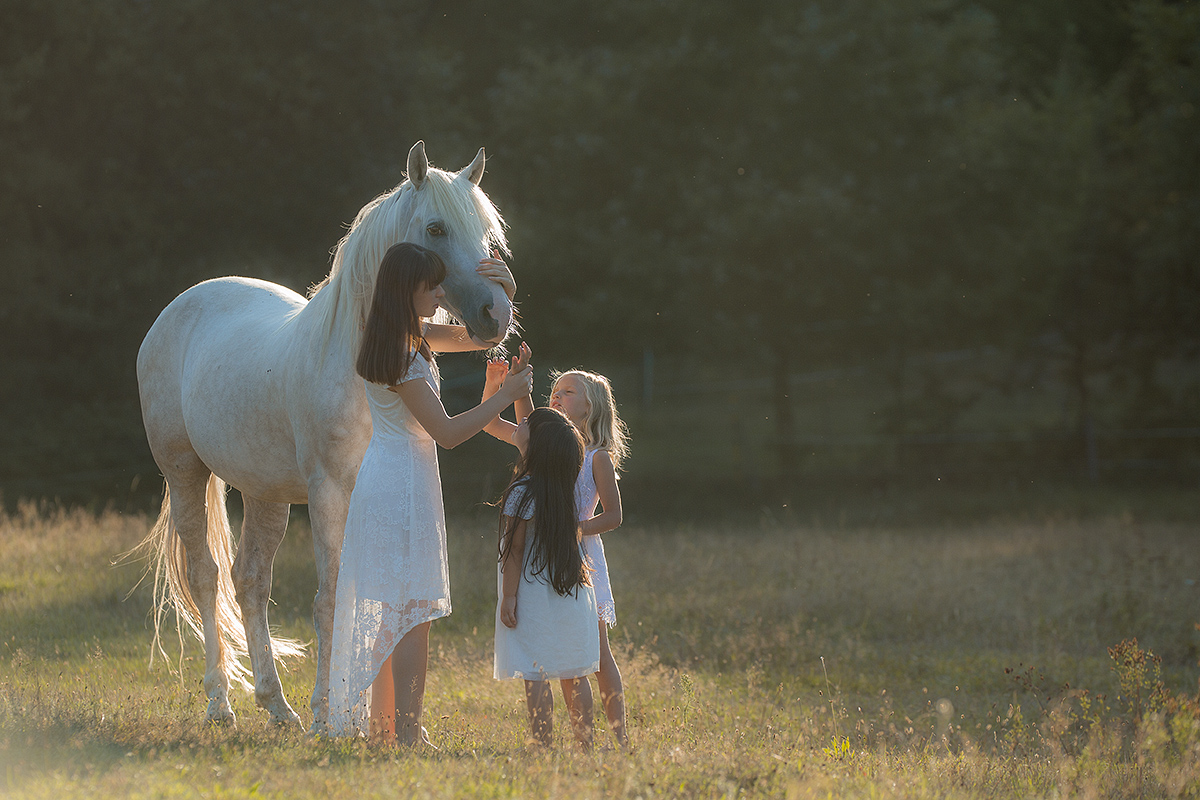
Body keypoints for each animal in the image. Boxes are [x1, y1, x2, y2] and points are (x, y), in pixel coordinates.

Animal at [132, 140, 516, 729]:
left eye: (487, 233)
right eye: (435, 229)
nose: (495, 314)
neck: (357, 361)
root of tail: (179, 307)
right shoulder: (330, 493)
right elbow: (331, 600)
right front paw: (329, 715)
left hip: (265, 493)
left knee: (250, 581)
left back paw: (276, 705)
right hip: (184, 474)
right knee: (206, 576)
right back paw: (223, 703)